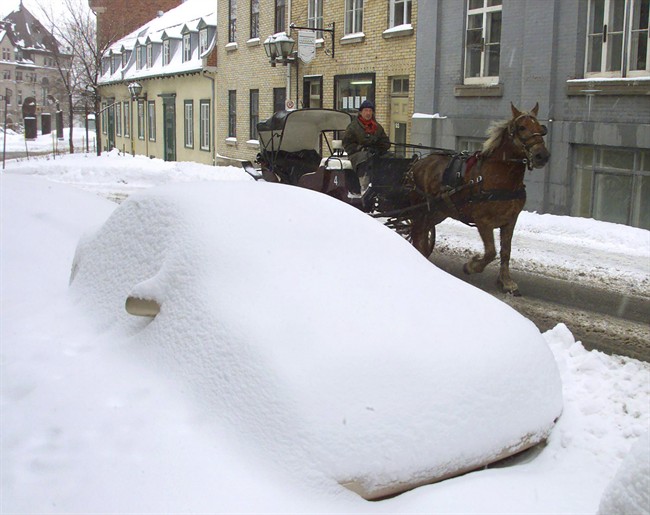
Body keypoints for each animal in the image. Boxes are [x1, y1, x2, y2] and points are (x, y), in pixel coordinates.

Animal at [407, 103, 550, 296]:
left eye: (542, 129)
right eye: (521, 127)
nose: (542, 155)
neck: (501, 178)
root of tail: (418, 163)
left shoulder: (510, 220)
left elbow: (505, 252)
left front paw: (506, 282)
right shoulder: (483, 221)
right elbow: (491, 252)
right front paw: (471, 266)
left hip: (438, 211)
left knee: (422, 232)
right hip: (420, 208)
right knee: (417, 232)